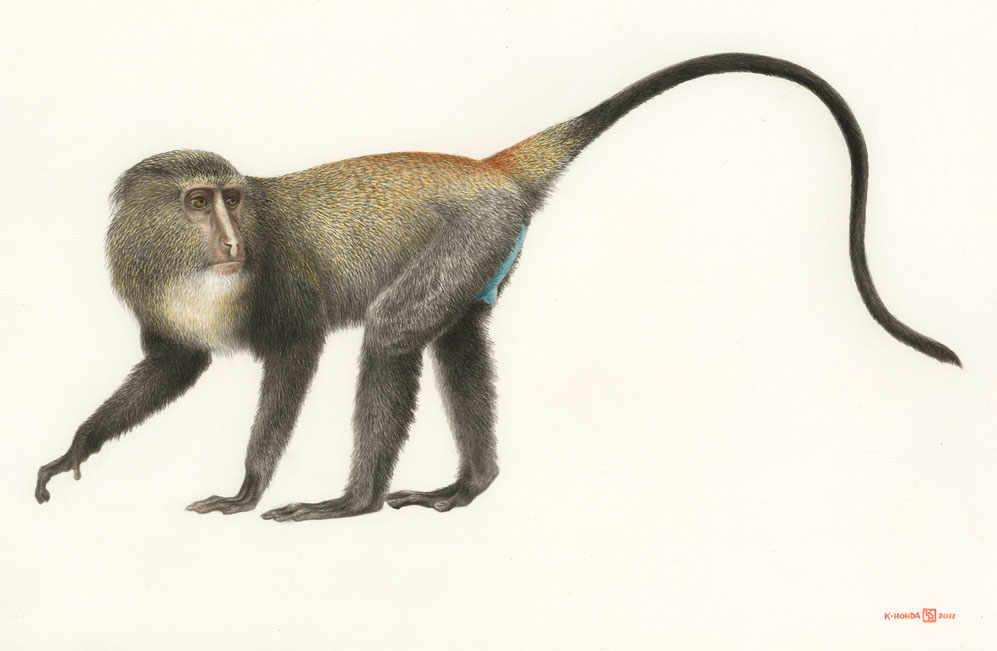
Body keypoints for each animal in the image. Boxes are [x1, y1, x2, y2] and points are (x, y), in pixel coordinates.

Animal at [35, 53, 959, 522]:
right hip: (488, 247)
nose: (227, 237)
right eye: (197, 202)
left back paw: (354, 502)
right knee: (453, 338)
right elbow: (172, 366)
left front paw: (246, 488)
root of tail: (489, 169)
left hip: (471, 230)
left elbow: (297, 357)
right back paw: (468, 484)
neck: (202, 263)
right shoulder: (151, 293)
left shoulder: (282, 289)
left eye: (232, 198)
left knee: (393, 335)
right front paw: (75, 446)